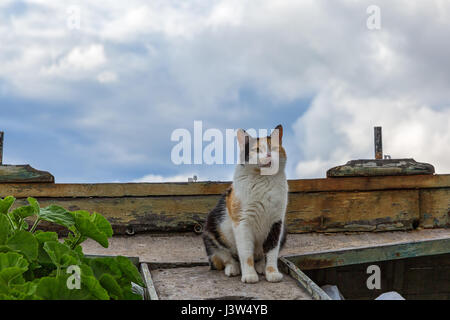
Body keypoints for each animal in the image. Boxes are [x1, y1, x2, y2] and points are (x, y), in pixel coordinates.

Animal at [202, 124, 286, 282]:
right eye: (257, 150)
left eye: (273, 148)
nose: (269, 155)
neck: (263, 180)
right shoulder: (242, 221)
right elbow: (246, 252)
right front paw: (249, 275)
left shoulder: (277, 223)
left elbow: (272, 251)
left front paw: (272, 273)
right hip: (211, 231)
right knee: (225, 257)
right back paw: (233, 268)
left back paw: (261, 266)